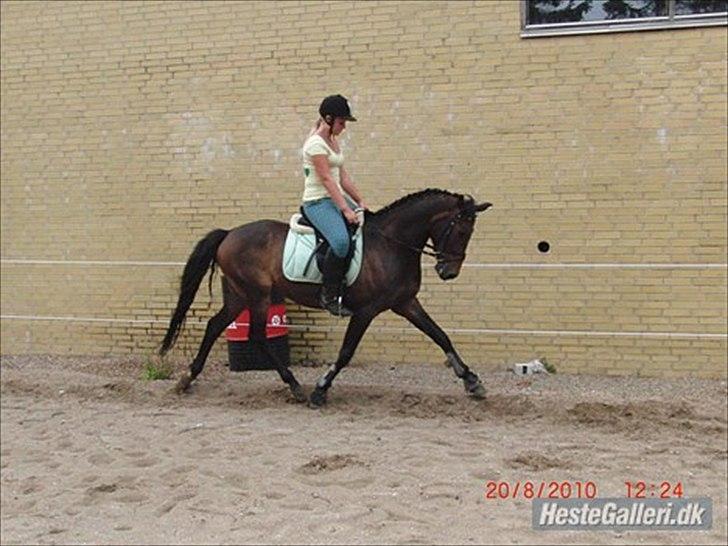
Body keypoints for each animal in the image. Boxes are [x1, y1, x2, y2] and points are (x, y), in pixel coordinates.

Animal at [158, 187, 490, 404]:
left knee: (215, 325)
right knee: (257, 335)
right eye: (461, 231)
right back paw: (295, 386)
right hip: (258, 295)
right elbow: (346, 352)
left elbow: (440, 335)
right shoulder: (367, 310)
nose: (449, 272)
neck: (392, 244)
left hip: (240, 296)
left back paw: (187, 379)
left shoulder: (405, 303)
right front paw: (320, 389)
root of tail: (229, 234)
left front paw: (472, 381)